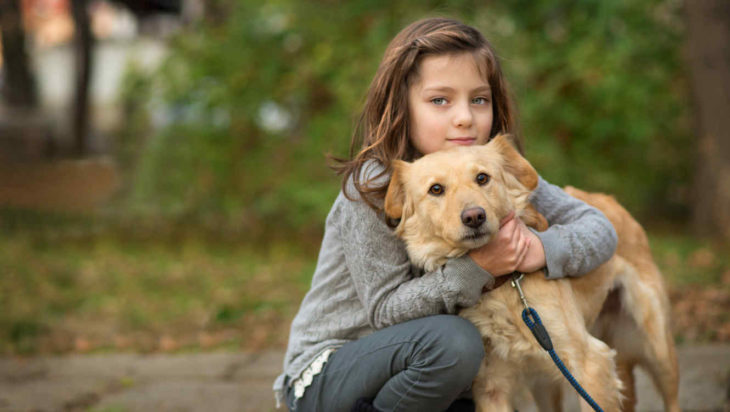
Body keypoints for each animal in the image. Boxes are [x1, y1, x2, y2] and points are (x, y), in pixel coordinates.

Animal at [382, 134, 676, 410]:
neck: (502, 287)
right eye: (436, 189)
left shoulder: (590, 361)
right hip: (546, 380)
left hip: (657, 347)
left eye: (482, 178)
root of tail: (608, 199)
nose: (474, 217)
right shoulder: (491, 387)